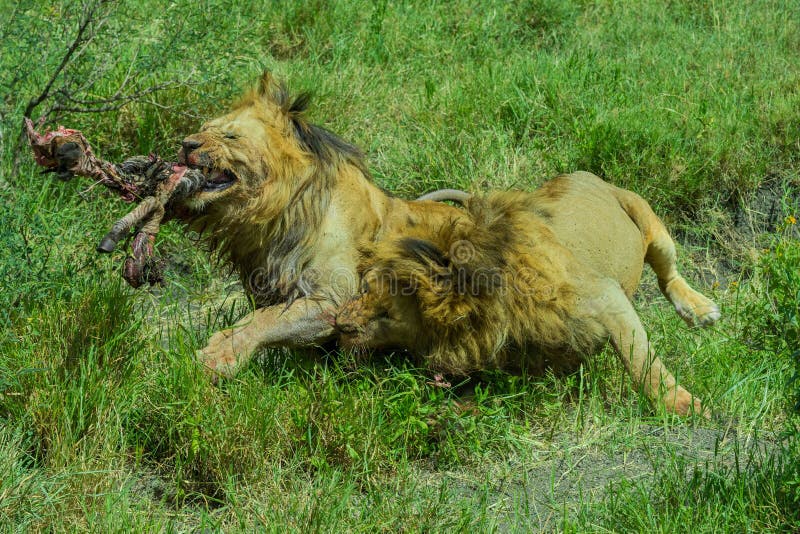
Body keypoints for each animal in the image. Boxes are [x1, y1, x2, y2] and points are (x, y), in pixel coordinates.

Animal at [334, 173, 720, 416]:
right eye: (363, 287)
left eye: (386, 314)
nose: (338, 326)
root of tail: (584, 174)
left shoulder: (606, 296)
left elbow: (642, 361)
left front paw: (682, 406)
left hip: (649, 222)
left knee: (668, 275)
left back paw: (700, 310)